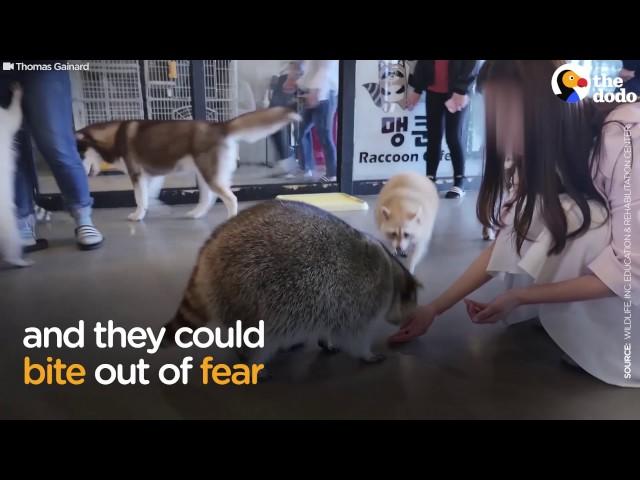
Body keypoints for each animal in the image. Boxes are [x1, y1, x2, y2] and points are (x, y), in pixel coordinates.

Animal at [162, 201, 418, 366]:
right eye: (412, 305)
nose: (406, 324)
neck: (393, 272)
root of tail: (210, 247)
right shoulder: (362, 296)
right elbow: (354, 334)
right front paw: (366, 353)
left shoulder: (333, 301)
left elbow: (329, 322)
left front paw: (325, 339)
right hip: (246, 292)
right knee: (256, 338)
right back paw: (251, 361)